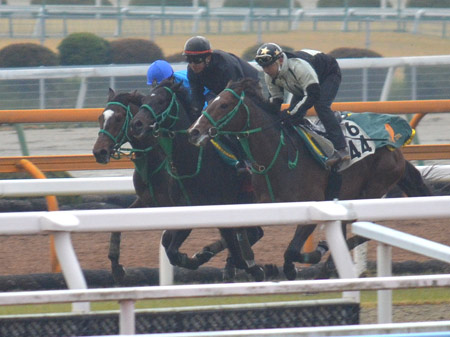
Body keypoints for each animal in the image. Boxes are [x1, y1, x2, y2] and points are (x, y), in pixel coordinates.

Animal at [91, 88, 246, 282]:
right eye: (100, 117)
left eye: (119, 118)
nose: (99, 152)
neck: (156, 161)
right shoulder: (147, 201)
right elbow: (119, 222)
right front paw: (116, 267)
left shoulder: (184, 206)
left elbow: (169, 241)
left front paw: (192, 258)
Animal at [128, 80, 266, 280]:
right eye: (144, 100)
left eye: (161, 101)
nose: (136, 124)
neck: (192, 165)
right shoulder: (186, 210)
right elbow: (171, 249)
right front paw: (196, 257)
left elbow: (235, 250)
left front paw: (253, 268)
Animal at [187, 77, 432, 280]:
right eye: (210, 102)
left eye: (224, 105)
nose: (194, 131)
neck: (278, 157)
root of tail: (396, 147)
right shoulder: (259, 205)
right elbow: (241, 231)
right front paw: (244, 263)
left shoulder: (313, 205)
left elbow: (292, 250)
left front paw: (298, 263)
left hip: (373, 189)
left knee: (365, 227)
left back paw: (328, 262)